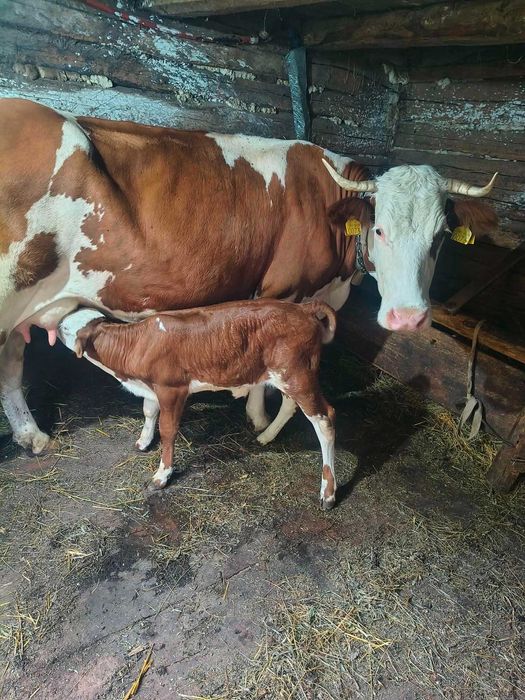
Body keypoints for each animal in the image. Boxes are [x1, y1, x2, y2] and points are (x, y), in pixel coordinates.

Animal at [0, 97, 498, 455]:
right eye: (379, 229)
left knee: (11, 365)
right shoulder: (280, 290)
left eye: (440, 237)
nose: (408, 318)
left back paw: (32, 436)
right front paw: (258, 416)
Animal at [58, 299, 338, 507]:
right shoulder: (153, 387)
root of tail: (303, 308)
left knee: (325, 420)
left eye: (65, 328)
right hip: (287, 376)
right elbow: (148, 411)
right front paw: (144, 441)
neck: (137, 344)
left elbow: (168, 430)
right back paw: (266, 436)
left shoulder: (171, 389)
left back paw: (328, 492)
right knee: (291, 405)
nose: (55, 323)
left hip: (297, 374)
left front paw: (163, 475)